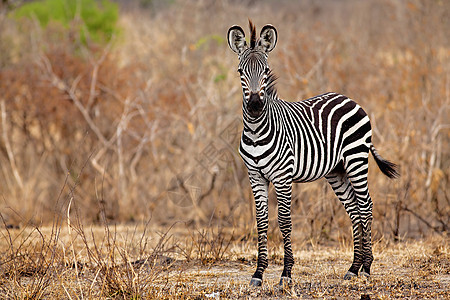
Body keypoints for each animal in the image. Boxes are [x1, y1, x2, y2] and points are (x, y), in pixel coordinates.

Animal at [227, 19, 400, 288]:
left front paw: (286, 274)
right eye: (240, 72)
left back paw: (367, 268)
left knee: (365, 206)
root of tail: (349, 99)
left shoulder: (282, 177)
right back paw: (353, 268)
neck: (256, 130)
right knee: (353, 210)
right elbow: (261, 221)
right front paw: (258, 273)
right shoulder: (255, 176)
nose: (255, 106)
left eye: (265, 71)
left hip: (356, 159)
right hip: (336, 171)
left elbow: (284, 221)